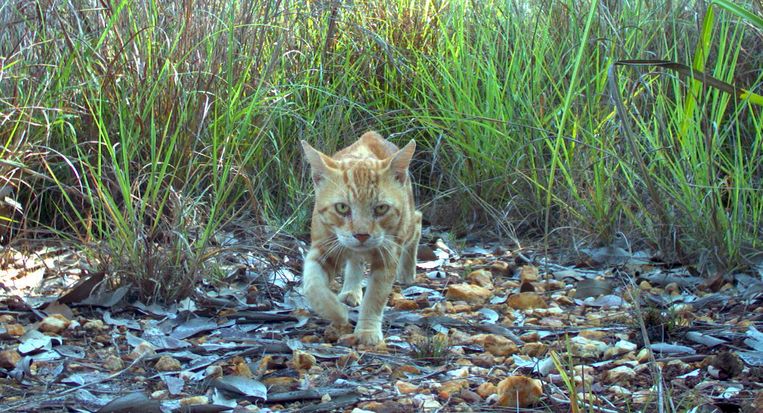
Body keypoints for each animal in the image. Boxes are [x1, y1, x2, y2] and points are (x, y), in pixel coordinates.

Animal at [302, 131, 424, 344]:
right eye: (342, 208)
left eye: (381, 208)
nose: (361, 234)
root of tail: (371, 135)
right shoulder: (323, 247)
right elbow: (312, 285)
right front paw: (336, 312)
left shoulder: (388, 255)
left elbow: (376, 296)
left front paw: (368, 331)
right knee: (355, 261)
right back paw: (350, 290)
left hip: (407, 225)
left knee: (417, 220)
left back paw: (407, 272)